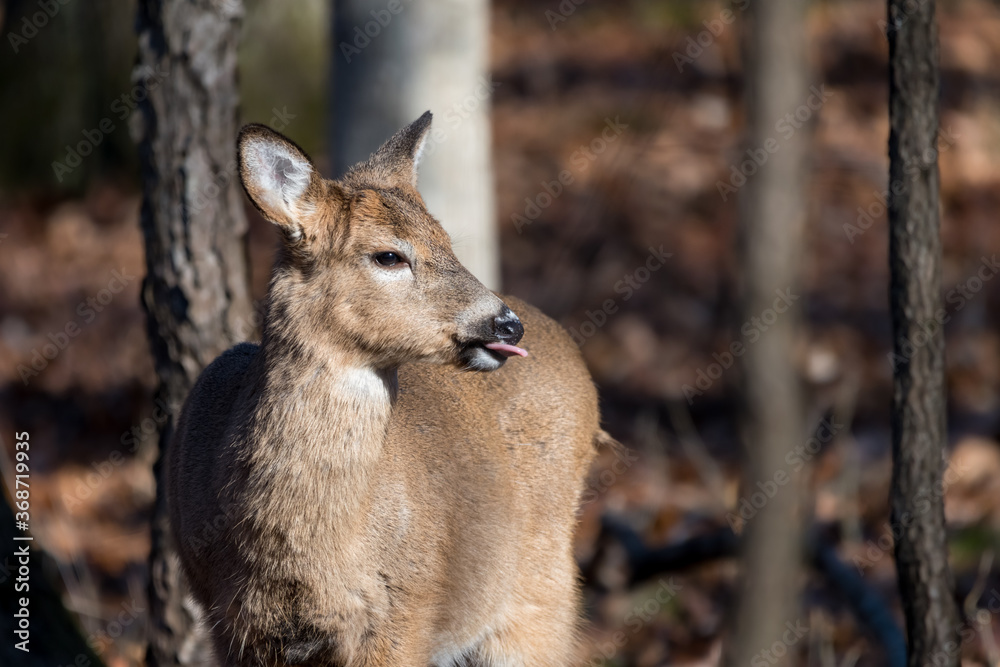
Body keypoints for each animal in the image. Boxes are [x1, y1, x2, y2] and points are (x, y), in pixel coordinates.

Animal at [166, 111, 613, 667]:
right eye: (388, 256)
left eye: (445, 241)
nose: (506, 325)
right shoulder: (230, 623)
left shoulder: (407, 610)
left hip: (538, 584)